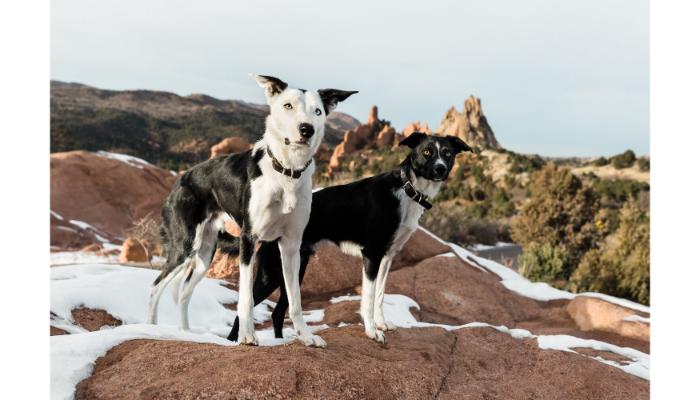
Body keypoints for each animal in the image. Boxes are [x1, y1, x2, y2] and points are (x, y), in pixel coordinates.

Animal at [146, 75, 356, 346]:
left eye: (318, 111)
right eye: (288, 106)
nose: (306, 129)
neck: (287, 172)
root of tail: (182, 179)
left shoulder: (291, 246)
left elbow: (295, 301)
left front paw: (306, 336)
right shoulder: (249, 240)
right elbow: (245, 297)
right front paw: (247, 335)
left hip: (205, 254)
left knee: (183, 292)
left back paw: (185, 332)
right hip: (184, 247)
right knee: (156, 286)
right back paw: (150, 327)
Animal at [227, 132, 474, 344]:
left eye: (448, 153)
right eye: (427, 152)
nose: (441, 169)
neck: (407, 189)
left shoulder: (388, 257)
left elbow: (380, 295)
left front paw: (382, 324)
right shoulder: (372, 254)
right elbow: (368, 298)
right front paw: (372, 332)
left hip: (294, 268)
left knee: (278, 312)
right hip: (271, 274)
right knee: (245, 308)